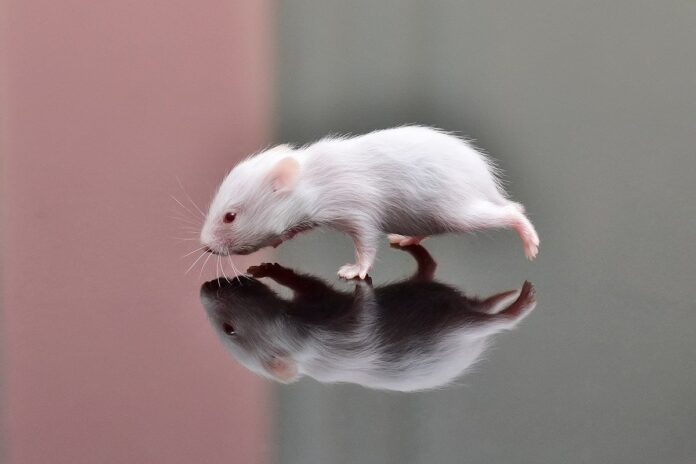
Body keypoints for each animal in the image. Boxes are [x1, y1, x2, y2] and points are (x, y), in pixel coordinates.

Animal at [200, 126, 539, 279]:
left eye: (230, 217)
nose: (204, 245)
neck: (309, 179)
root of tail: (486, 181)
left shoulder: (356, 209)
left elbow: (365, 241)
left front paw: (355, 270)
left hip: (457, 210)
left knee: (511, 211)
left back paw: (529, 240)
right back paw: (406, 238)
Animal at [200, 245, 537, 392]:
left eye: (229, 329)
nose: (204, 289)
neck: (302, 354)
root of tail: (473, 340)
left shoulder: (320, 313)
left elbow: (307, 284)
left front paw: (270, 268)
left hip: (455, 326)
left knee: (495, 321)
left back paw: (520, 305)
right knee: (430, 269)